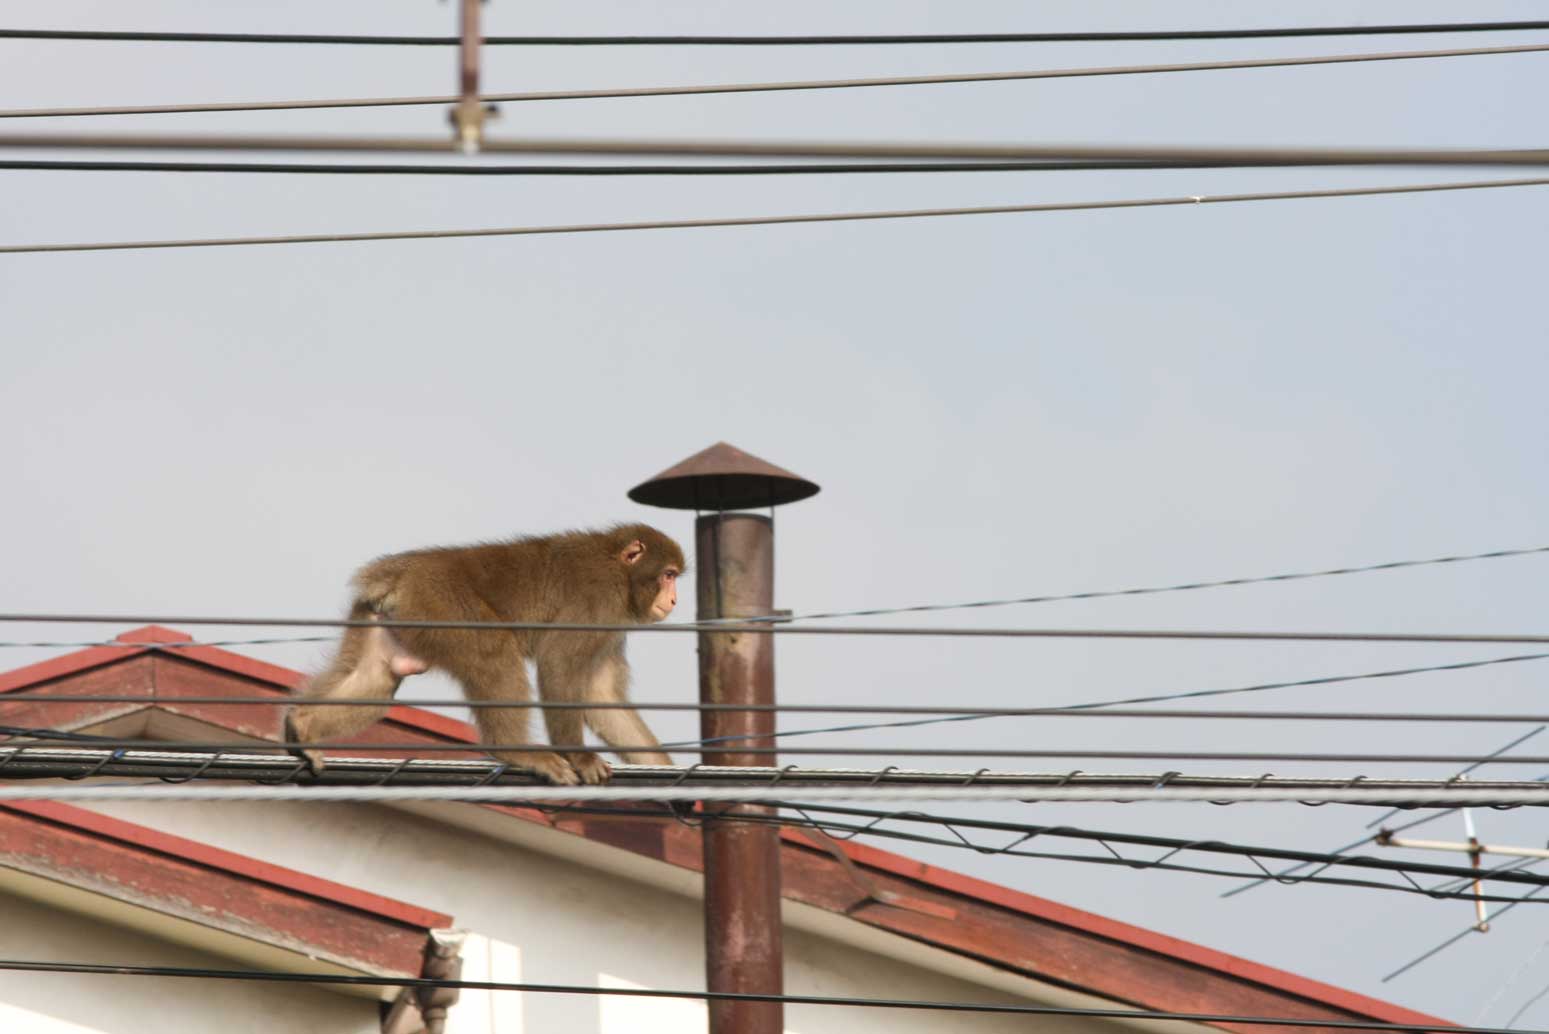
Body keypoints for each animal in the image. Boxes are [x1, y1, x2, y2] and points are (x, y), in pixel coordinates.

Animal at [286, 526, 684, 783]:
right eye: (668, 575)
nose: (674, 599)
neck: (619, 568)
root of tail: (397, 573)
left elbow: (600, 695)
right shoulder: (598, 600)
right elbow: (557, 666)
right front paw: (580, 756)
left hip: (390, 617)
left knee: (376, 675)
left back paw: (303, 724)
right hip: (441, 604)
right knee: (495, 652)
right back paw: (515, 751)